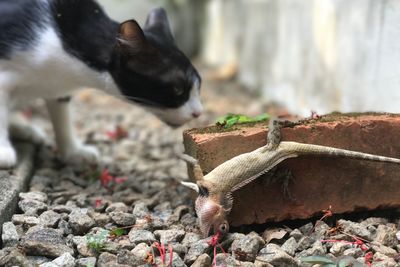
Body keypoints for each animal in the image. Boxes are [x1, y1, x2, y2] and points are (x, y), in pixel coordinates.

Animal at [0, 0, 203, 168]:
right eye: (178, 89)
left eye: (199, 85)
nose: (198, 112)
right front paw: (3, 152)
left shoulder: (58, 87)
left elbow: (62, 115)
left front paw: (73, 151)